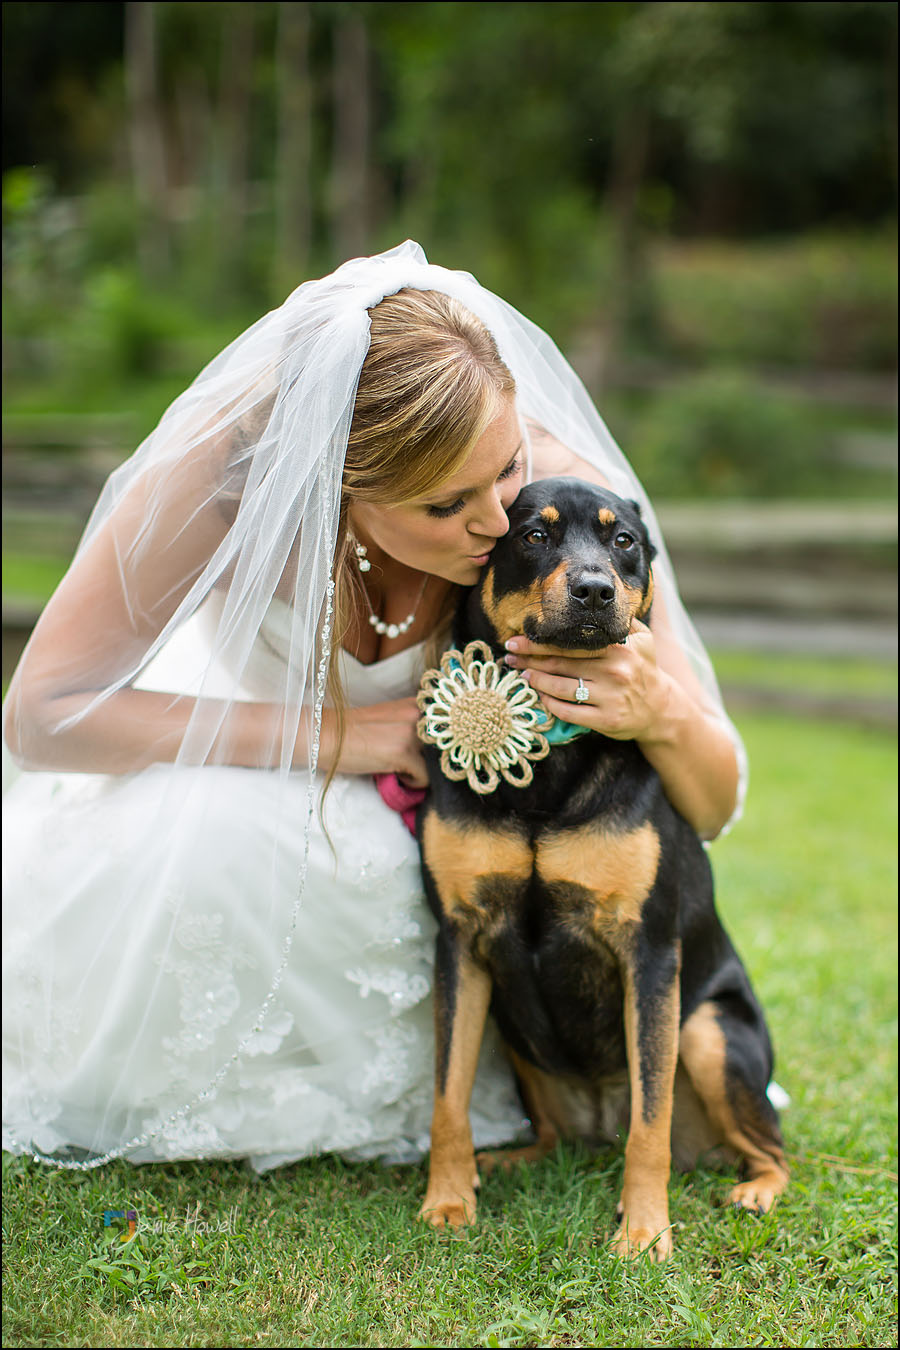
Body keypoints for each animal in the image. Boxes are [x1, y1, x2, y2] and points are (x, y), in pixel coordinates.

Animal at [418, 480, 788, 1258]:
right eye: (532, 534)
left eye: (625, 543)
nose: (594, 590)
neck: (549, 761)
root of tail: (595, 1129)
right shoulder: (458, 942)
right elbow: (446, 1096)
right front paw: (447, 1200)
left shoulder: (647, 951)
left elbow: (651, 1119)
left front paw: (645, 1233)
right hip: (512, 1034)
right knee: (552, 1136)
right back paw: (506, 1162)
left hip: (708, 1033)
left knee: (768, 1147)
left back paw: (755, 1192)